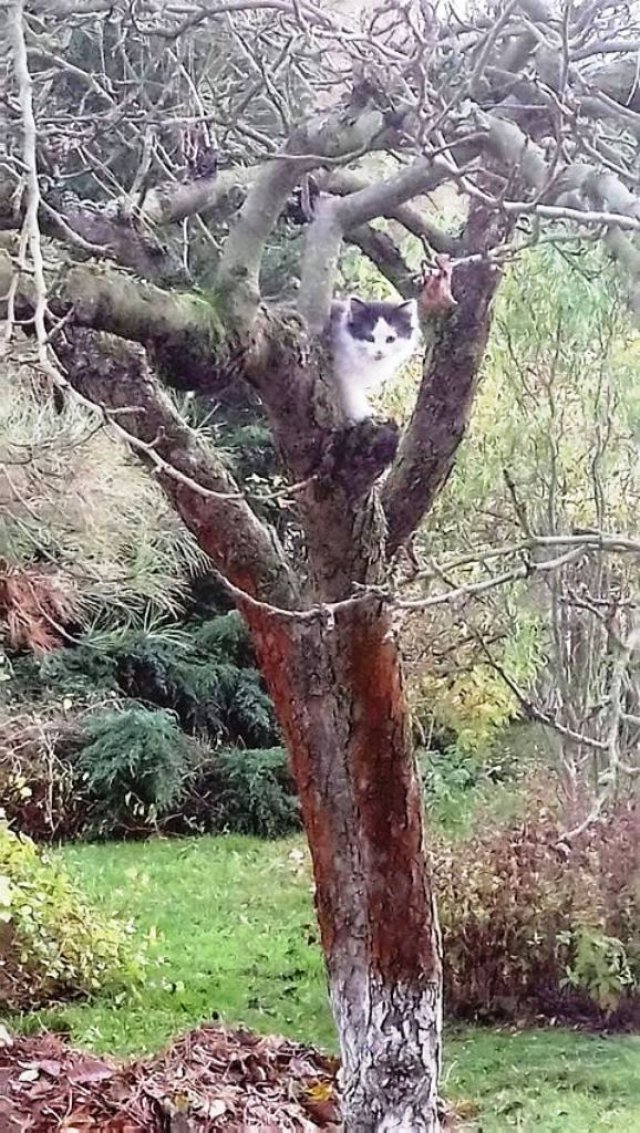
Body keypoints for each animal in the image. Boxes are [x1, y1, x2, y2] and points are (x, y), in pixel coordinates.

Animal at [328, 296, 419, 426]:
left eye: (390, 339)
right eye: (370, 338)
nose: (379, 352)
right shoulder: (344, 373)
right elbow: (353, 394)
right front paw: (361, 414)